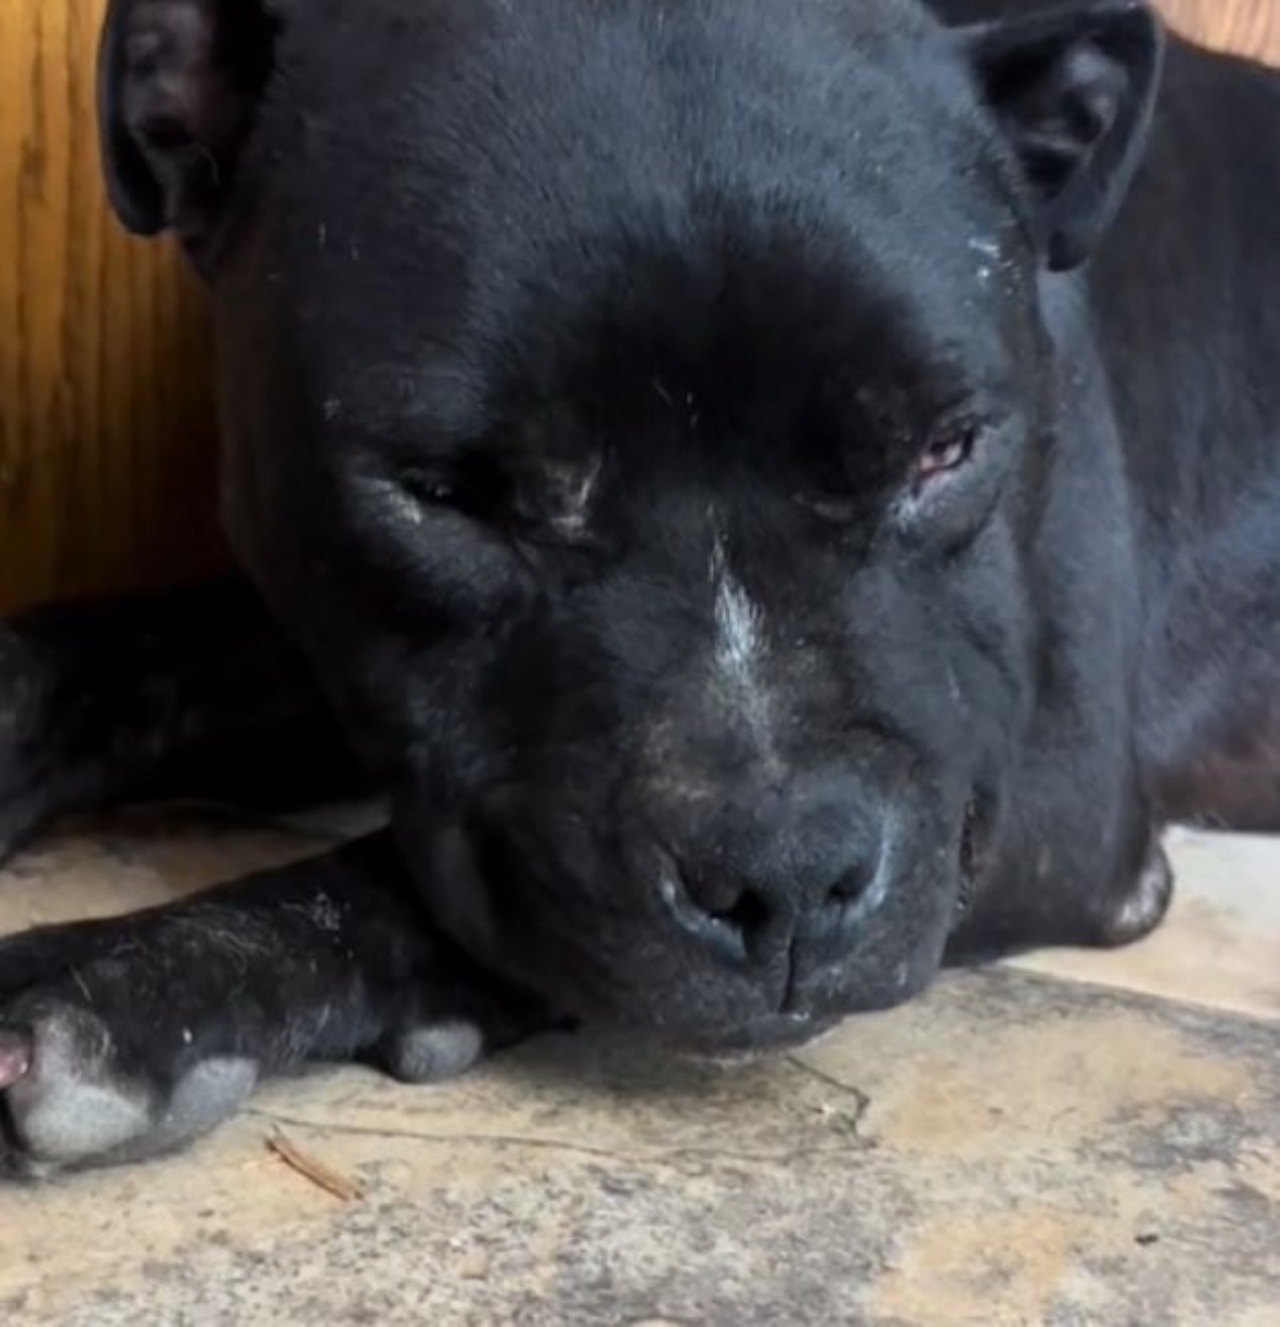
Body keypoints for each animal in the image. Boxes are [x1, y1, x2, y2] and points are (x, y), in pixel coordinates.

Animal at [0, 0, 1273, 1183]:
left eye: (943, 451)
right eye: (442, 492)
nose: (785, 870)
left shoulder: (1043, 793)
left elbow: (391, 877)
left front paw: (135, 983)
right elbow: (142, 653)